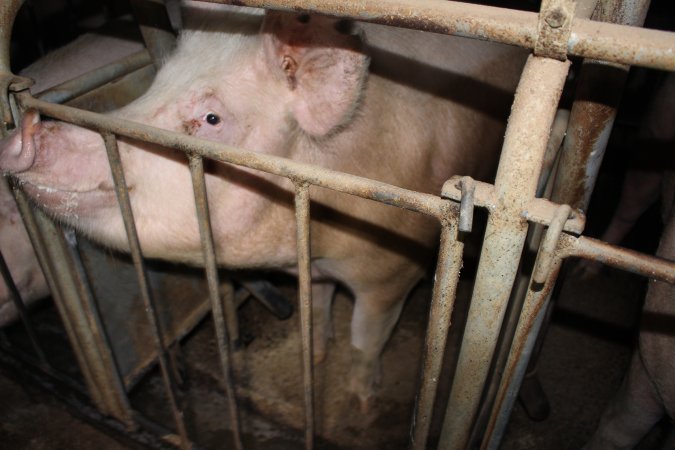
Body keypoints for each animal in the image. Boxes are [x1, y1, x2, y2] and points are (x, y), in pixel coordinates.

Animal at [0, 0, 524, 408]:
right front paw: (315, 354)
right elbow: (317, 307)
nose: (27, 131)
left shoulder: (394, 270)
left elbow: (365, 337)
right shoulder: (312, 267)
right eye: (154, 82)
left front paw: (361, 398)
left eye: (212, 118)